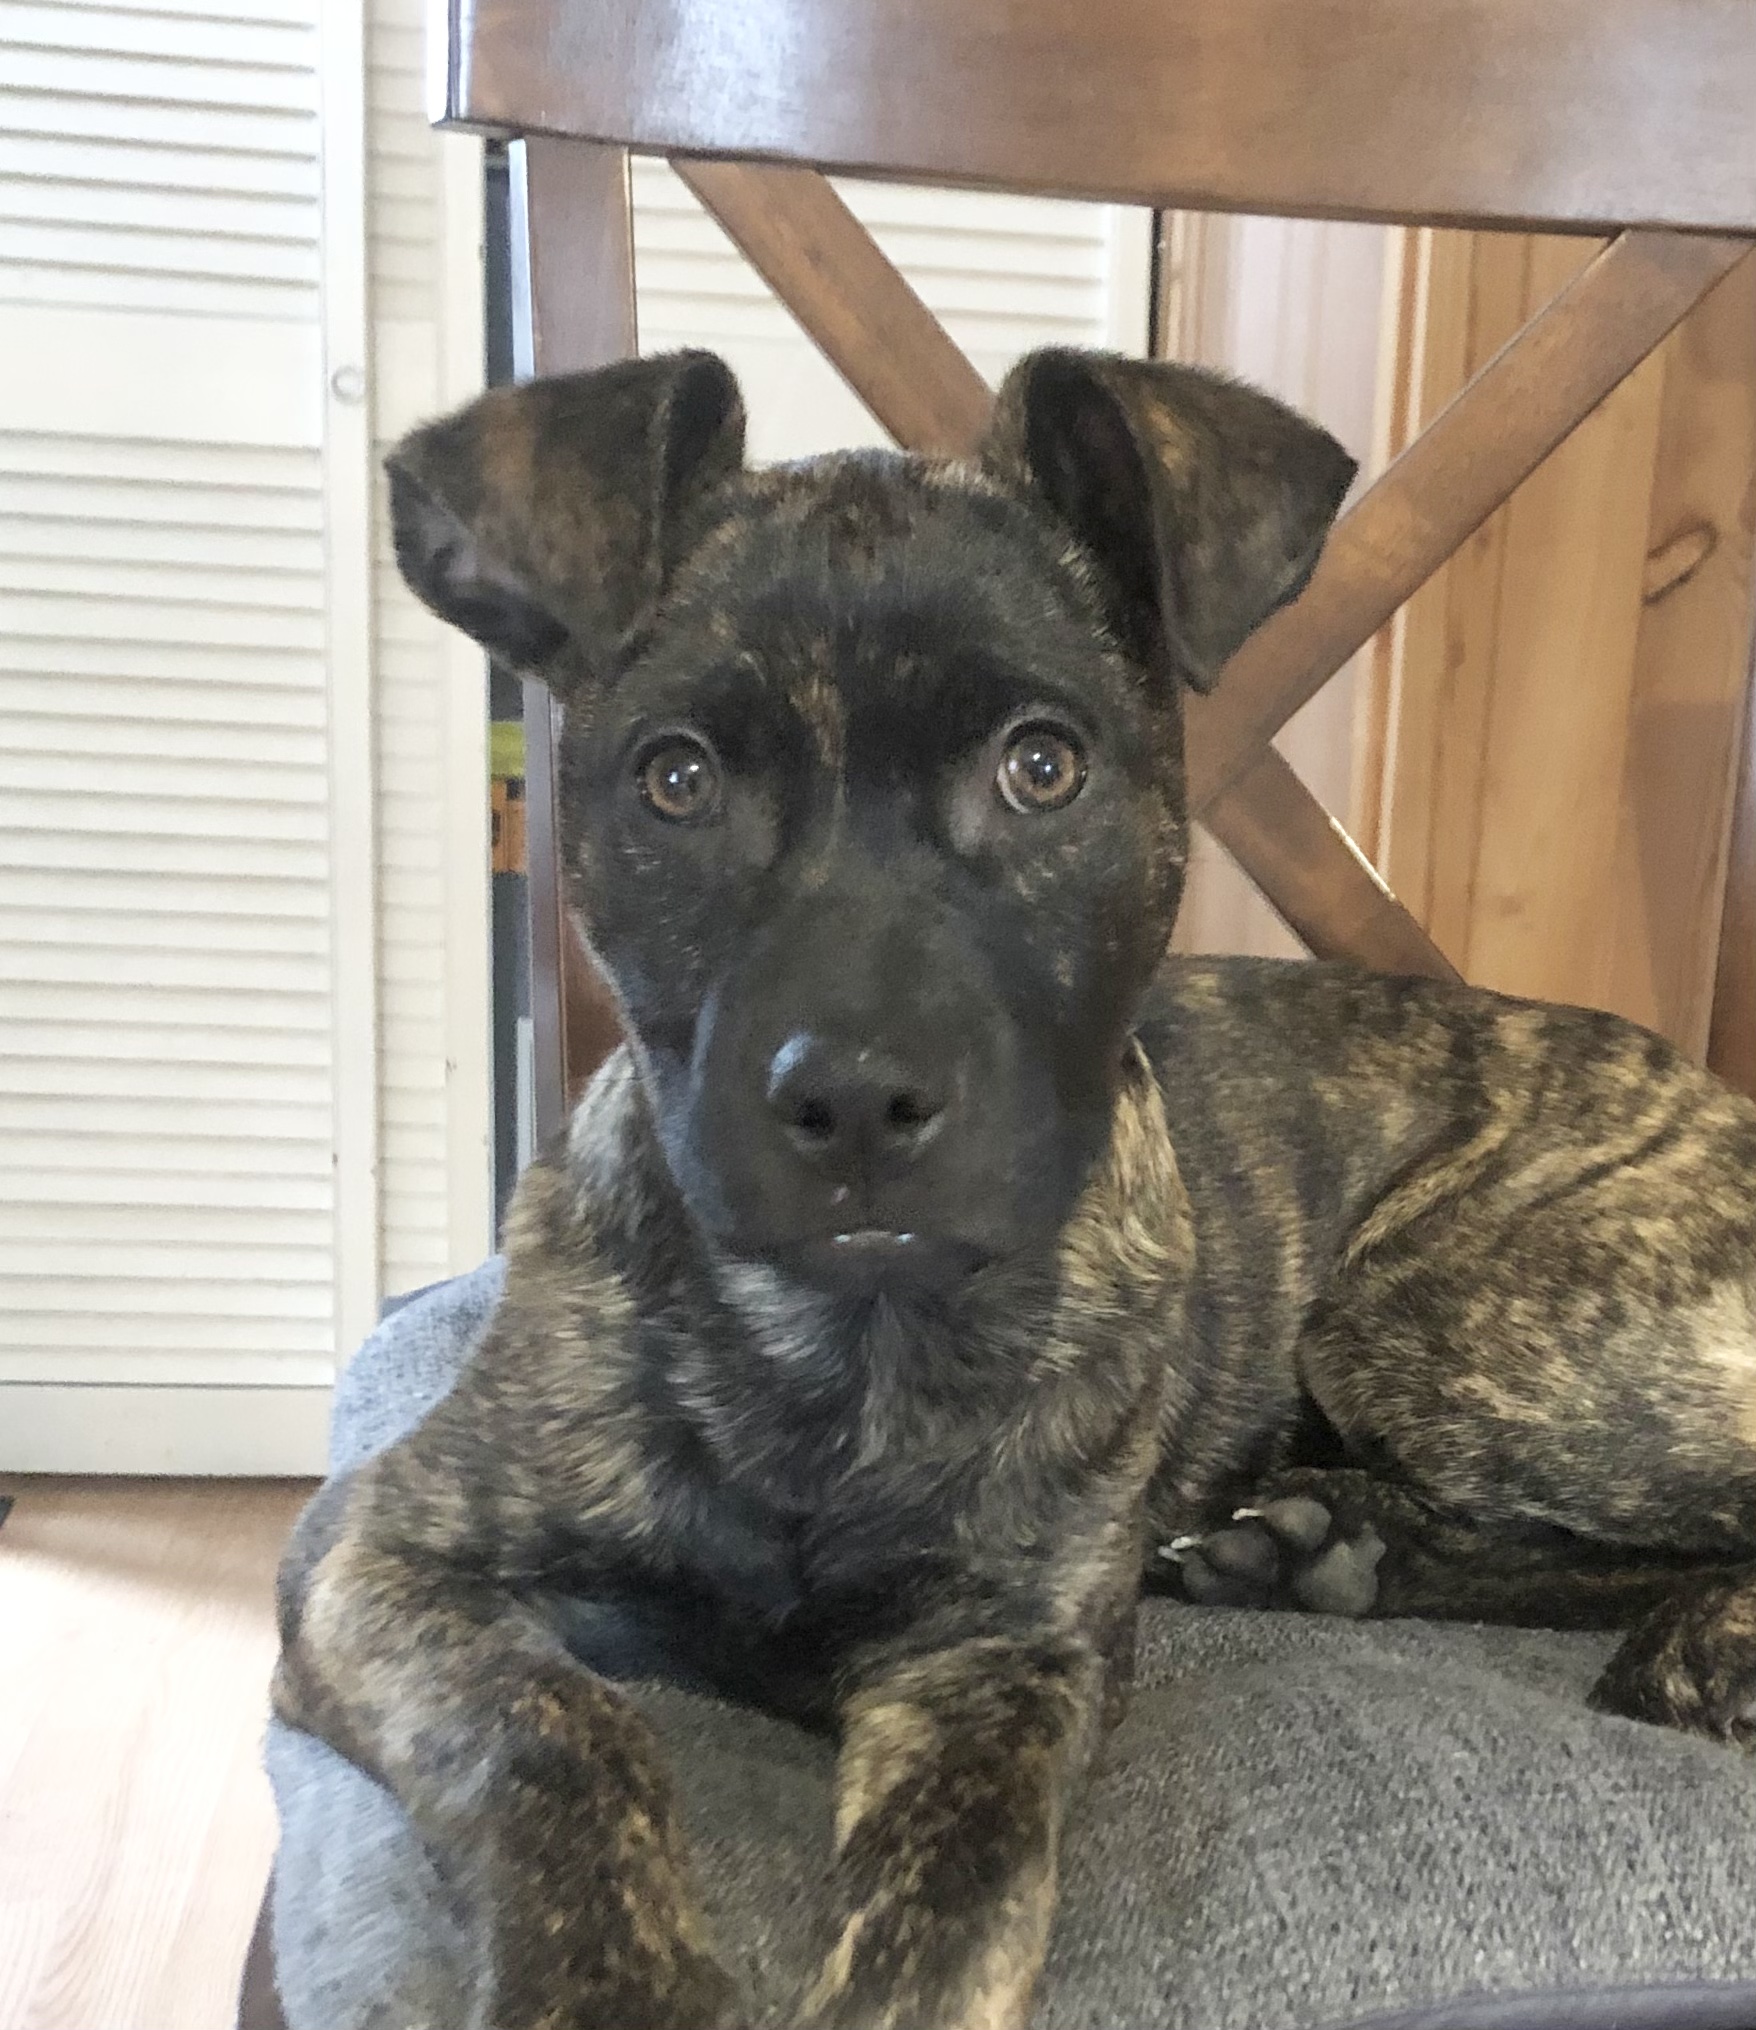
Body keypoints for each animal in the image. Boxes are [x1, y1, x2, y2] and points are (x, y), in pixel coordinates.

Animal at [272, 347, 1756, 2030]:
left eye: (1042, 766)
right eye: (675, 779)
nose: (855, 1097)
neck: (846, 1344)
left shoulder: (1001, 1660)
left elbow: (950, 1903)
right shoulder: (379, 1554)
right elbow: (553, 1721)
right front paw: (612, 1982)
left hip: (1440, 1317)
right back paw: (1333, 1545)